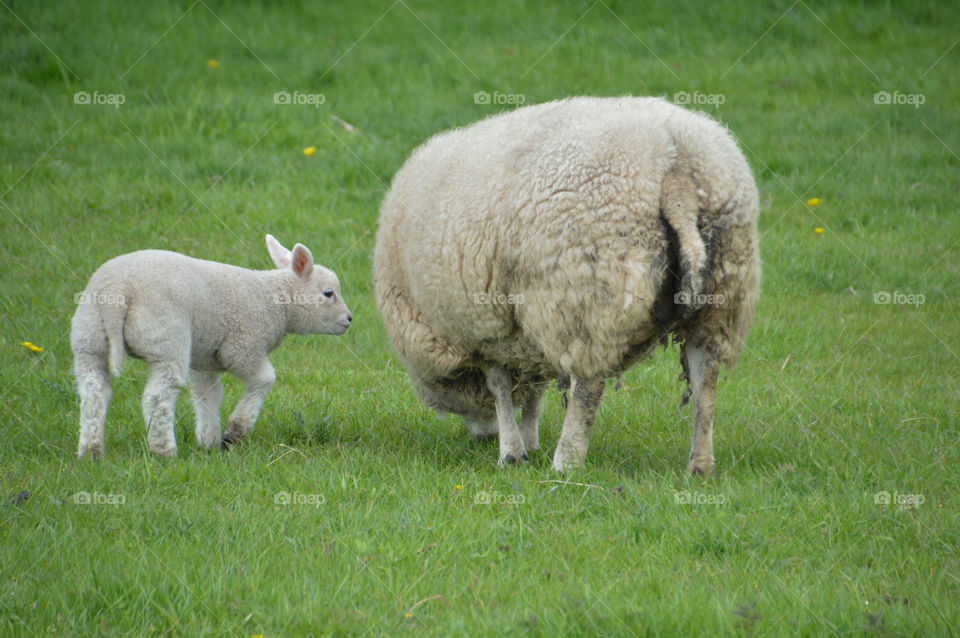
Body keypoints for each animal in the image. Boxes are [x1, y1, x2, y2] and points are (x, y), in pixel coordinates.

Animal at [71, 235, 352, 459]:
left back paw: (90, 451)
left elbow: (209, 397)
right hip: (166, 340)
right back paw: (164, 452)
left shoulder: (205, 360)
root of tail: (117, 290)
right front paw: (234, 433)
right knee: (157, 398)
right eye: (329, 293)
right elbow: (265, 380)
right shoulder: (242, 346)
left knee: (94, 393)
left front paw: (210, 443)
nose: (349, 319)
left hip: (89, 339)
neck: (276, 299)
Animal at [374, 96, 760, 475]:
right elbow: (534, 388)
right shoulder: (527, 329)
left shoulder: (486, 329)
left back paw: (567, 461)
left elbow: (500, 387)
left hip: (587, 297)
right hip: (724, 294)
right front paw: (528, 443)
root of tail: (674, 164)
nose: (482, 439)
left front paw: (511, 453)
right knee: (706, 377)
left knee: (589, 387)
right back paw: (700, 465)